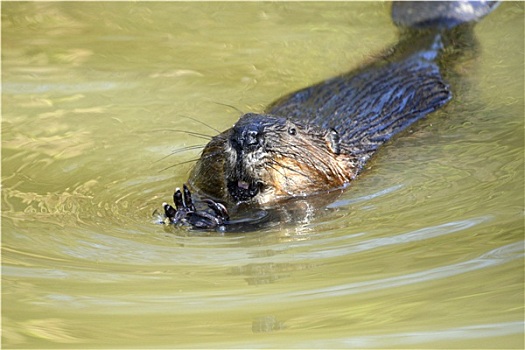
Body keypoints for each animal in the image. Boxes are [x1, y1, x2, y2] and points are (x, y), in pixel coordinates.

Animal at [162, 1, 498, 231]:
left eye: (291, 131)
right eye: (234, 124)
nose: (247, 136)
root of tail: (436, 27)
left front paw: (204, 215)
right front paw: (186, 207)